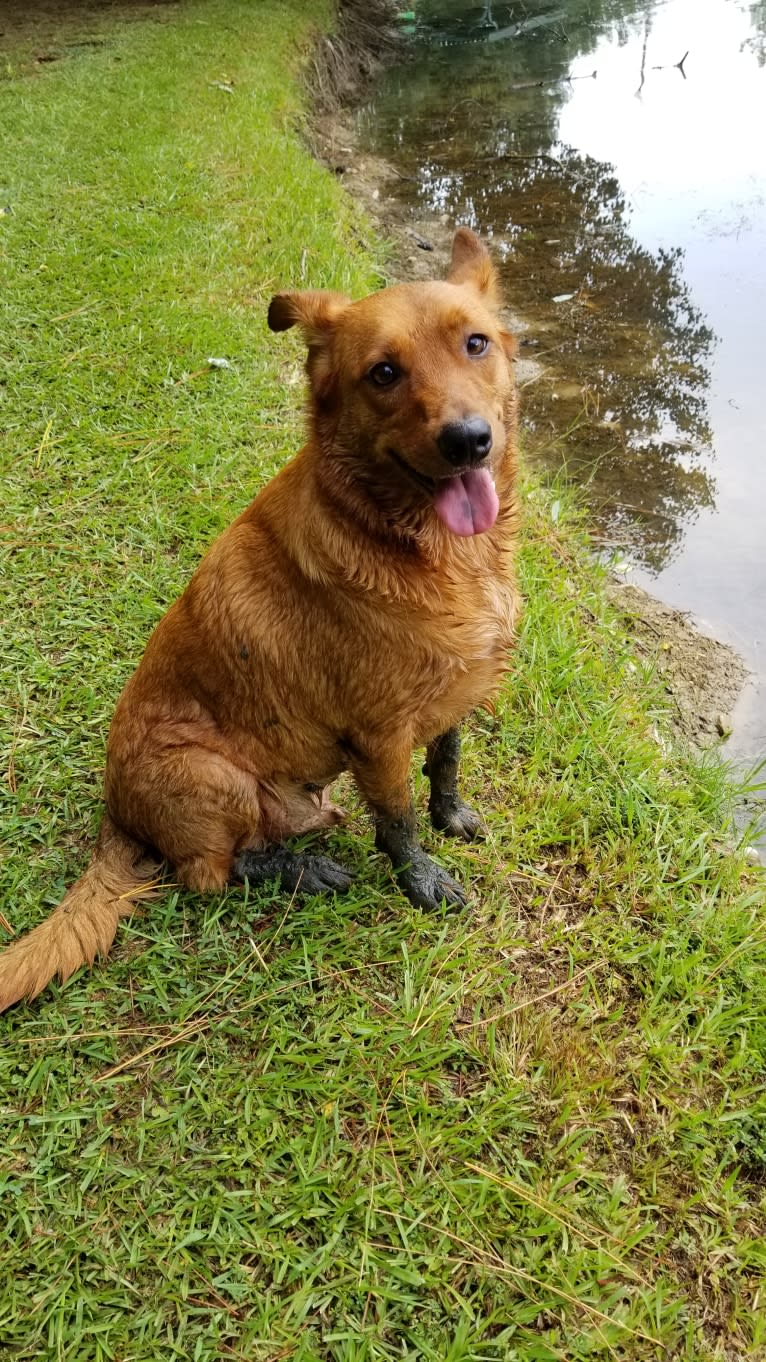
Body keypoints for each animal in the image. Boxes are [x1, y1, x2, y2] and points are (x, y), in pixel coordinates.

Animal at [0, 226, 517, 1013]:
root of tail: (116, 818)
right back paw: (300, 871)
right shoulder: (378, 734)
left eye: (476, 344)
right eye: (384, 373)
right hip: (214, 777)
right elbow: (397, 820)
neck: (411, 540)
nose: (468, 439)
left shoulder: (447, 693)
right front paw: (420, 877)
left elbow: (447, 758)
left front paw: (449, 816)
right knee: (207, 873)